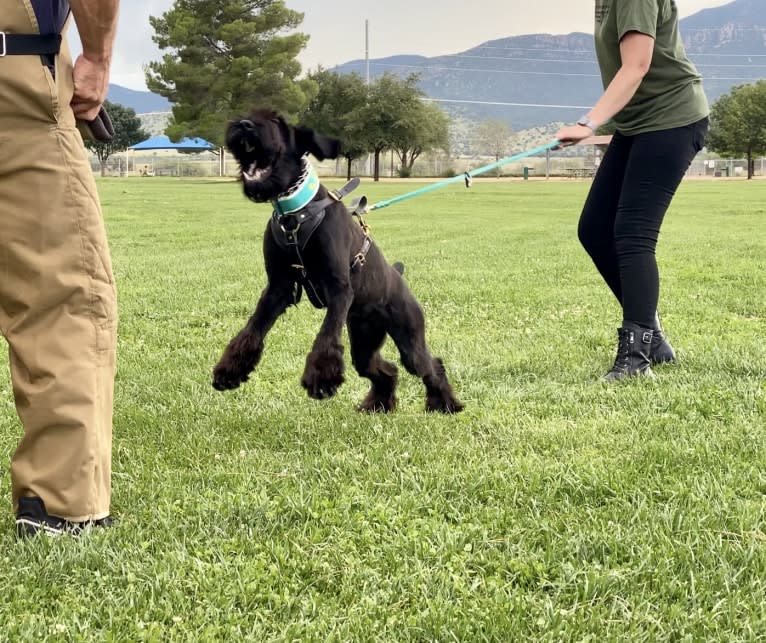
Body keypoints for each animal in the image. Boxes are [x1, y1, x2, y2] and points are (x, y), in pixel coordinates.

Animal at [212, 109, 462, 416]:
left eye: (278, 122)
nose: (244, 125)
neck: (296, 214)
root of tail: (398, 276)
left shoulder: (339, 288)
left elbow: (327, 334)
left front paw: (321, 378)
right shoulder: (278, 288)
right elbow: (252, 329)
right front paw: (229, 370)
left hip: (409, 337)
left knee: (430, 365)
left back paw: (446, 404)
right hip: (364, 342)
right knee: (385, 370)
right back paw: (378, 404)